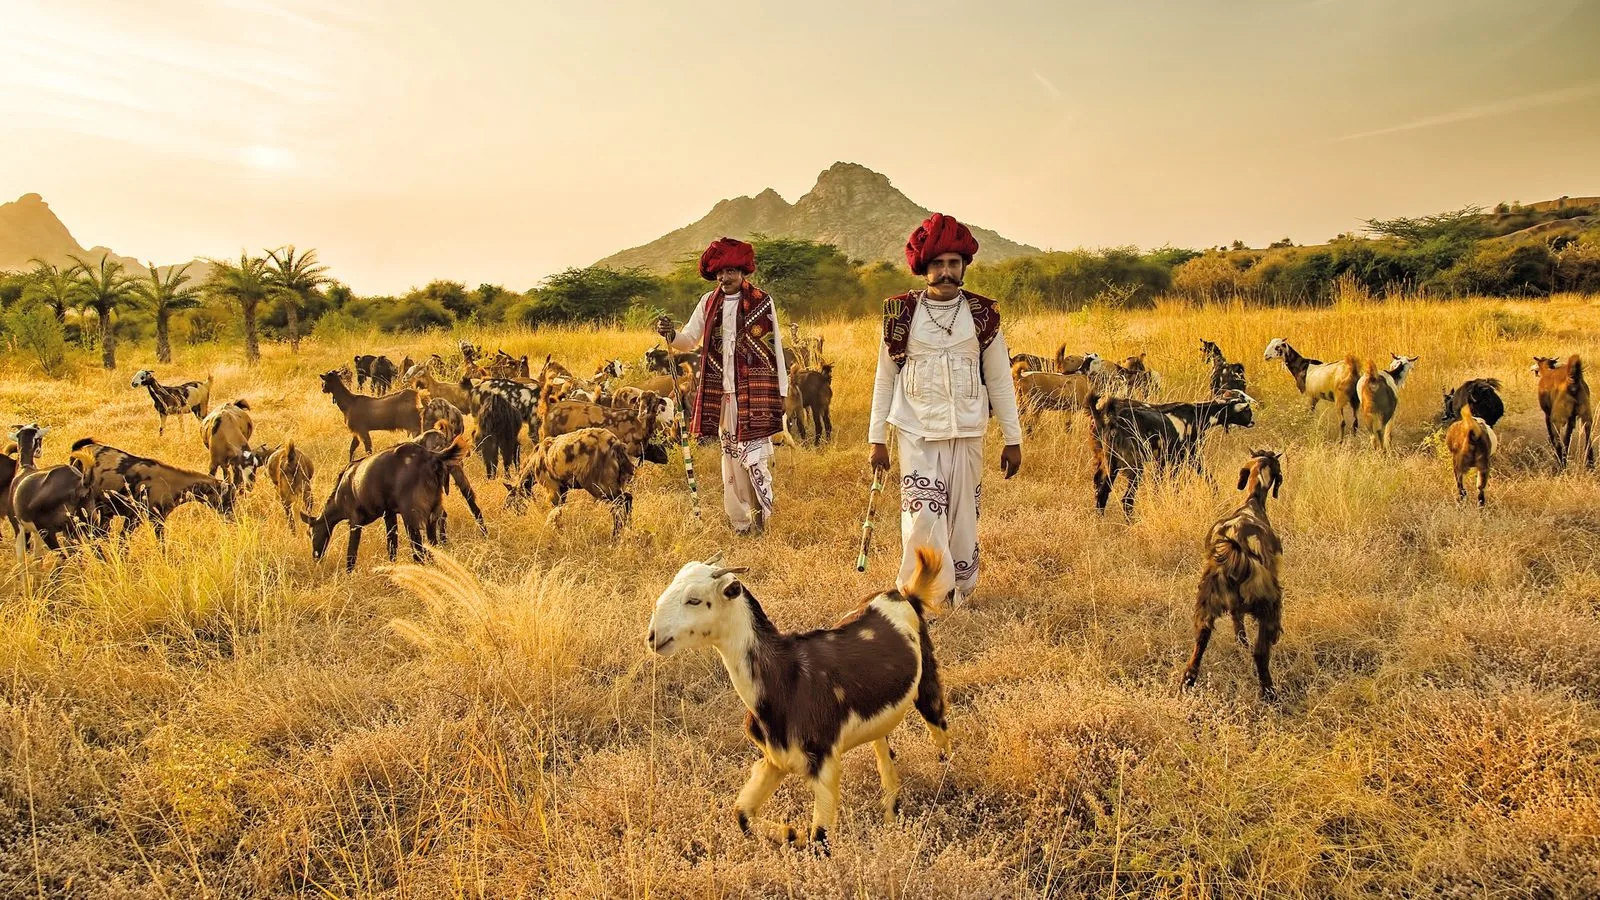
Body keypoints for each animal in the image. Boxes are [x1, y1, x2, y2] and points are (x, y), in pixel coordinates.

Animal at [303, 435, 469, 571]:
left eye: (310, 532)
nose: (316, 557)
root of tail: (432, 457)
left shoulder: (355, 520)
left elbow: (352, 552)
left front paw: (348, 574)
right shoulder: (389, 513)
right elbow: (392, 545)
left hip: (411, 514)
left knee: (418, 547)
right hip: (432, 513)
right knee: (432, 543)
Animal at [505, 427, 636, 535]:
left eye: (511, 502)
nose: (515, 517)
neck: (535, 459)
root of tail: (616, 445)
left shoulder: (552, 488)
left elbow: (555, 511)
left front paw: (556, 531)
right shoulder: (563, 489)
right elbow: (559, 510)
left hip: (600, 486)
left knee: (621, 503)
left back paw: (615, 537)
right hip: (617, 483)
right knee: (626, 501)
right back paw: (627, 531)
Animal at [647, 546, 950, 853]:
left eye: (694, 599)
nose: (653, 637)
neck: (786, 678)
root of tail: (904, 595)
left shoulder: (825, 765)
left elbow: (820, 841)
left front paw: (799, 835)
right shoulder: (774, 760)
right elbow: (742, 814)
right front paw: (791, 833)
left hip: (927, 683)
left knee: (939, 730)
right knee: (883, 748)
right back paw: (890, 812)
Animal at [1183, 449, 1285, 701]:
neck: (1252, 502)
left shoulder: (1234, 607)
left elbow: (1238, 628)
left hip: (1206, 604)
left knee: (1199, 646)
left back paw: (1187, 683)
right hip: (1269, 606)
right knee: (1260, 653)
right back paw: (1270, 694)